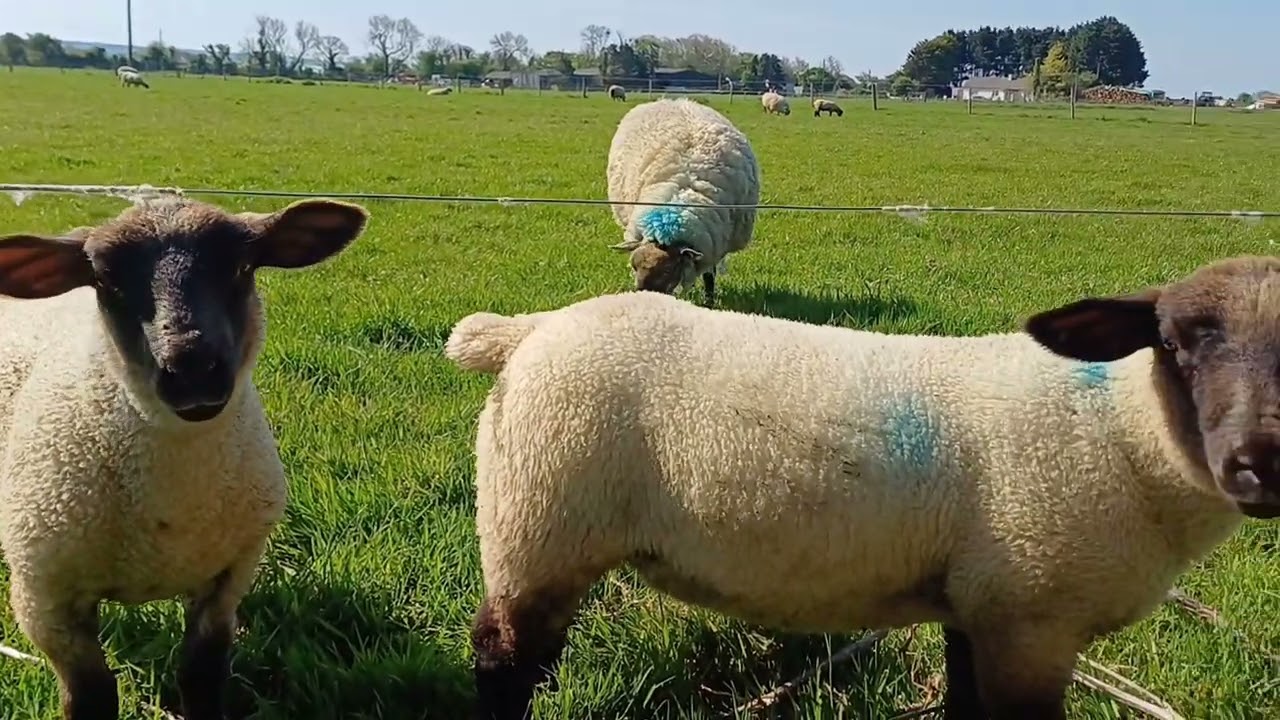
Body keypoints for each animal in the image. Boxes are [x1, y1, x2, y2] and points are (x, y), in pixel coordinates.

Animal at [0, 196, 369, 720]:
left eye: (242, 266)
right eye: (105, 279)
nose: (192, 369)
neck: (171, 514)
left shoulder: (227, 578)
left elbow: (201, 676)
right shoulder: (46, 602)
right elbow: (92, 696)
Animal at [445, 255, 1280, 720]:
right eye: (1172, 343)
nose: (1260, 462)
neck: (1123, 434)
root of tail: (529, 330)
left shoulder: (980, 607)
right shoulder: (1032, 622)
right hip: (539, 520)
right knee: (503, 661)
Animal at [605, 98, 760, 306]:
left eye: (668, 270)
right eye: (634, 267)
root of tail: (674, 100)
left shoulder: (711, 247)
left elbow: (709, 275)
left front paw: (709, 302)